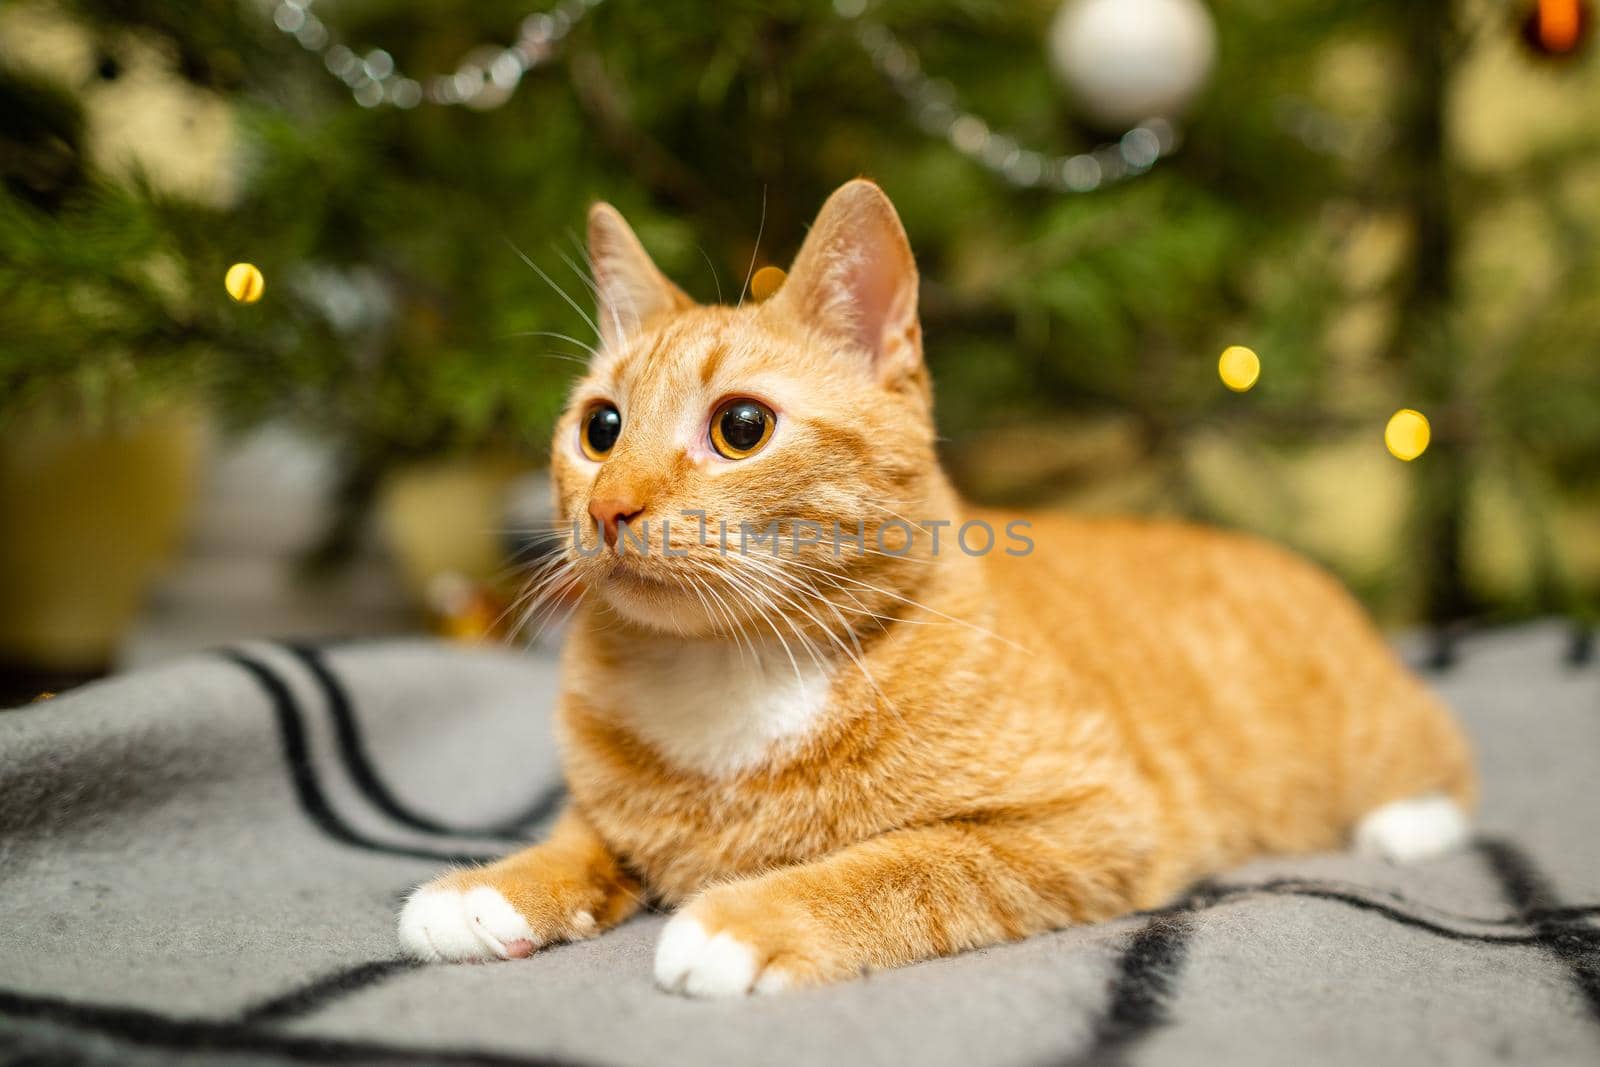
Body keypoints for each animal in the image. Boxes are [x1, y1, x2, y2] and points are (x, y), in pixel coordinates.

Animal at [400, 181, 1472, 991]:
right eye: (601, 428)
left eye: (741, 426)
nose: (609, 507)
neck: (732, 679)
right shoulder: (612, 815)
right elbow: (580, 837)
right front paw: (492, 885)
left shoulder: (1086, 820)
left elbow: (899, 862)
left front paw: (747, 916)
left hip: (1380, 730)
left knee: (1447, 759)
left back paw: (1410, 821)